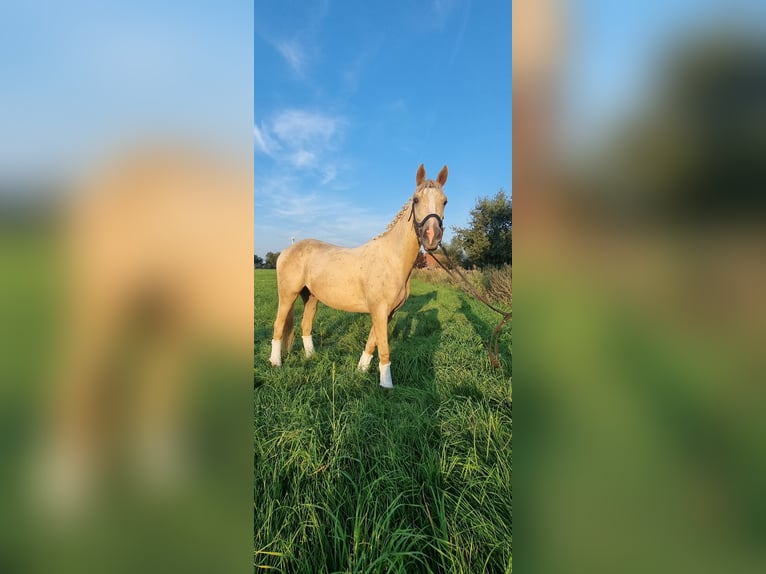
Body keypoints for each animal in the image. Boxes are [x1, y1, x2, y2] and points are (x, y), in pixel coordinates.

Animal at [270, 162, 450, 390]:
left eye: (445, 201)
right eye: (416, 200)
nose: (431, 237)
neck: (391, 258)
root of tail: (288, 249)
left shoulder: (387, 313)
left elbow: (372, 342)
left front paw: (361, 371)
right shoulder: (379, 311)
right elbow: (384, 348)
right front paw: (386, 386)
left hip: (310, 297)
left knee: (305, 325)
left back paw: (311, 357)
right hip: (287, 295)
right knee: (278, 325)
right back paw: (275, 362)